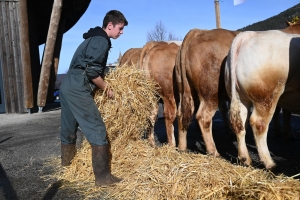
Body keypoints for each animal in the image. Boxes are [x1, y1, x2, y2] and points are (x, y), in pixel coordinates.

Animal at [173, 28, 239, 156]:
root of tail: (198, 31)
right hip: (211, 93)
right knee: (203, 117)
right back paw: (214, 152)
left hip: (185, 91)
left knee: (182, 114)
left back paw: (182, 148)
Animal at [225, 21, 300, 170]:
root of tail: (247, 35)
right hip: (267, 96)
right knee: (259, 123)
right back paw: (269, 163)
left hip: (240, 96)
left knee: (240, 123)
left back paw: (245, 159)